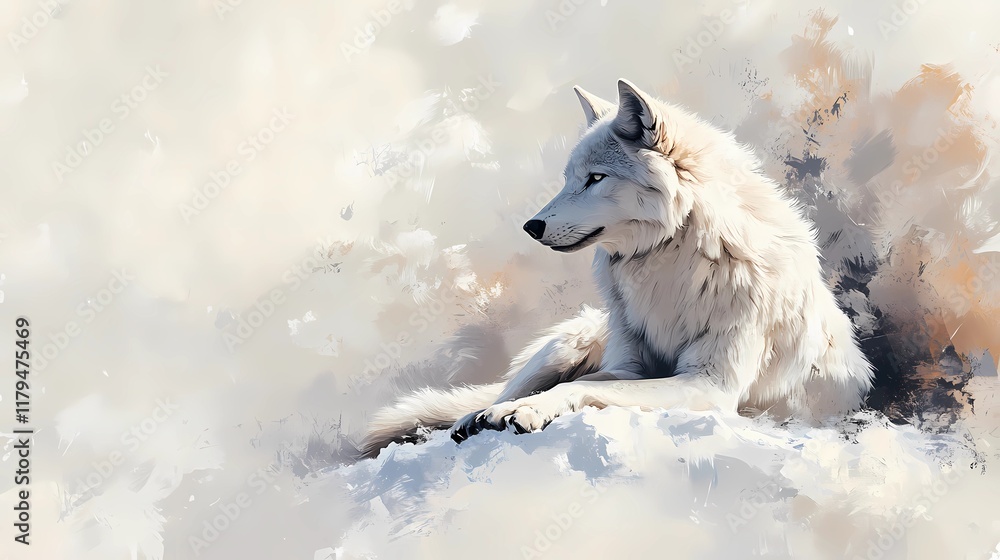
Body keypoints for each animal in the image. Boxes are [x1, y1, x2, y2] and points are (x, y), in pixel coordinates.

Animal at [361, 79, 873, 457]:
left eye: (595, 178)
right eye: (570, 178)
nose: (531, 226)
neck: (674, 256)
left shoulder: (708, 386)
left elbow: (583, 390)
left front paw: (531, 413)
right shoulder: (631, 367)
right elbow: (588, 383)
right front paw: (515, 411)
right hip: (563, 347)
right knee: (502, 391)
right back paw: (475, 416)